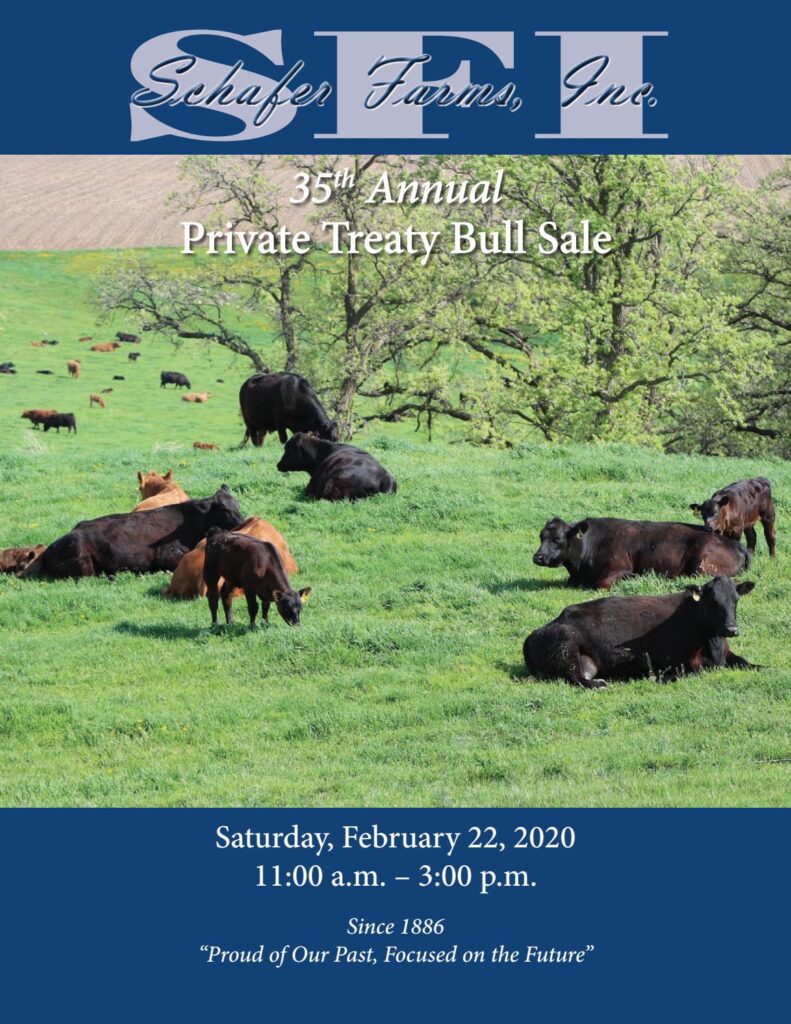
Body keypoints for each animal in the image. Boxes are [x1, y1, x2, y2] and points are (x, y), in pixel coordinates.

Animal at [523, 576, 756, 688]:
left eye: (736, 600)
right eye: (713, 601)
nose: (732, 629)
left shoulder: (728, 654)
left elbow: (748, 663)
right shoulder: (673, 661)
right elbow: (690, 672)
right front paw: (659, 678)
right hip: (567, 647)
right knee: (575, 678)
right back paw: (599, 685)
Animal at [533, 517, 750, 590]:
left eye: (557, 539)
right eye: (541, 536)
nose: (538, 557)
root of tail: (737, 545)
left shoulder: (620, 569)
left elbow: (601, 585)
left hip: (702, 566)